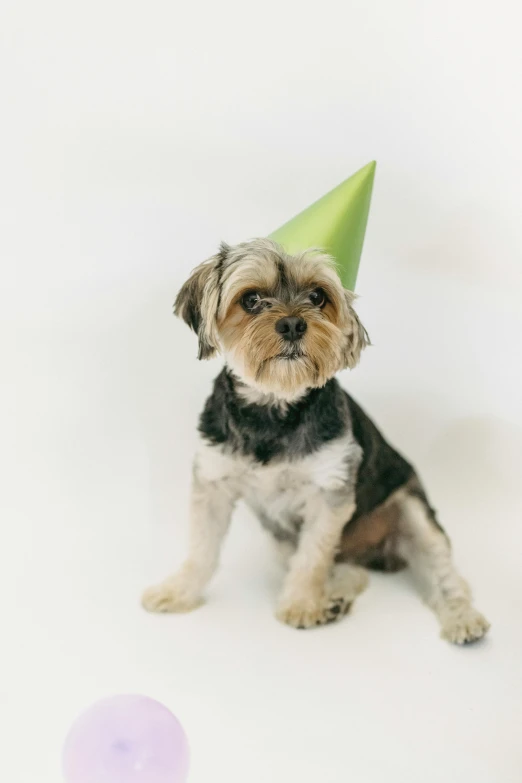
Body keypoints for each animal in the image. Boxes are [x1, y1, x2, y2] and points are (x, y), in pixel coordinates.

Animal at [141, 239, 488, 644]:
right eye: (251, 299)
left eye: (318, 296)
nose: (293, 323)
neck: (273, 409)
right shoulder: (213, 481)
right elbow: (201, 548)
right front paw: (178, 591)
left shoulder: (330, 492)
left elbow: (312, 557)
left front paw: (301, 606)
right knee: (350, 571)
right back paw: (337, 596)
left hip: (412, 509)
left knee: (445, 575)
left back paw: (462, 618)